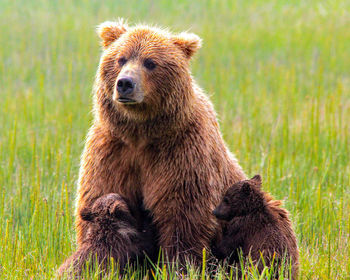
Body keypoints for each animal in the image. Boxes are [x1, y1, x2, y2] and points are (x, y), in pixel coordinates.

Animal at [76, 18, 246, 264]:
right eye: (121, 58)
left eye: (150, 62)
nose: (125, 83)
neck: (140, 133)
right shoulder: (112, 151)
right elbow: (100, 195)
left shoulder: (180, 152)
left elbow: (182, 215)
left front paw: (179, 263)